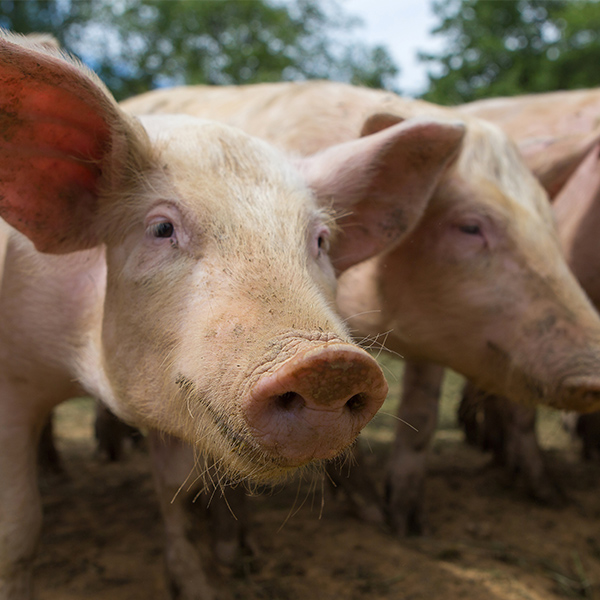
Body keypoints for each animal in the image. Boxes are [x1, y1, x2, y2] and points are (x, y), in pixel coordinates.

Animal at [0, 35, 468, 596]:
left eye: (320, 240)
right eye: (161, 229)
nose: (331, 365)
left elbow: (175, 493)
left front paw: (199, 584)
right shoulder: (13, 378)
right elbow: (19, 528)